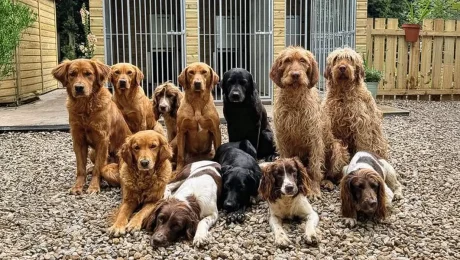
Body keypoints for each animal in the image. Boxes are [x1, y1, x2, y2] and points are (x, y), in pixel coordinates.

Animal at [52, 59, 131, 195]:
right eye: (72, 74)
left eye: (88, 74)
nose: (79, 88)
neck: (85, 108)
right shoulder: (78, 140)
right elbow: (80, 168)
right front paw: (77, 186)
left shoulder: (102, 140)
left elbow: (98, 169)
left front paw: (93, 187)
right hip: (92, 152)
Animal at [270, 46, 348, 197]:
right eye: (287, 60)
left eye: (303, 60)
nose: (295, 75)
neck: (294, 99)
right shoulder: (282, 139)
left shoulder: (315, 140)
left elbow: (315, 168)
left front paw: (314, 189)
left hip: (337, 148)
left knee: (330, 174)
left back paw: (327, 182)